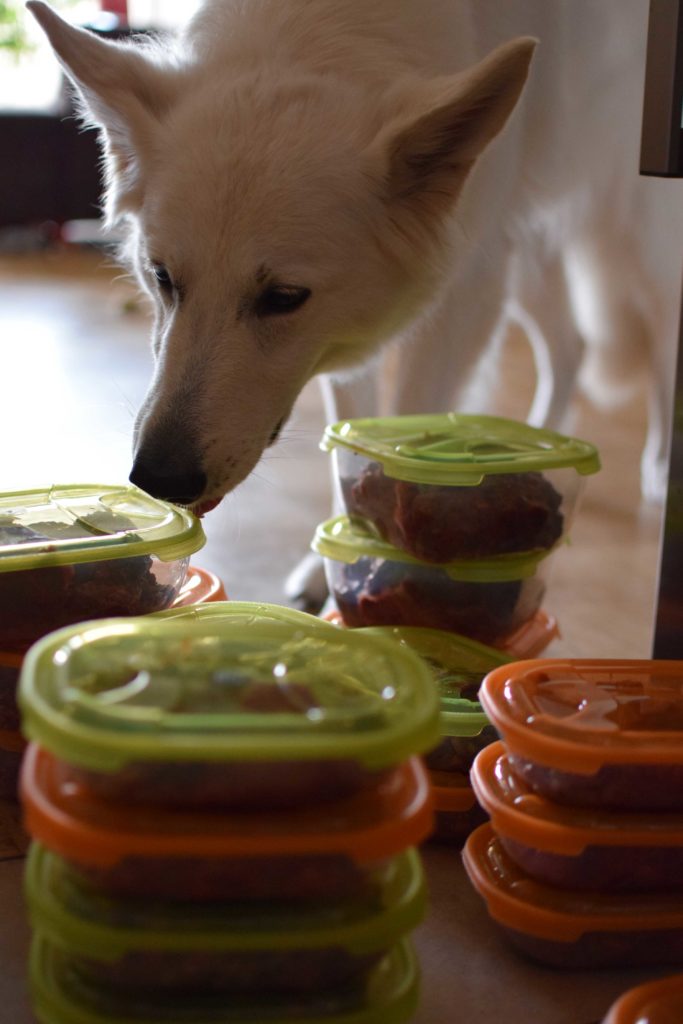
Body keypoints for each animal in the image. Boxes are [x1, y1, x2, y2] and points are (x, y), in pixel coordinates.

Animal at [28, 2, 683, 598]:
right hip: (526, 252)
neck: (321, 30)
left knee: (660, 333)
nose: (157, 478)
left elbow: (404, 423)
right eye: (162, 277)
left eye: (284, 298)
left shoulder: (467, 285)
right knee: (571, 345)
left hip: (623, 232)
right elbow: (351, 428)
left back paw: (656, 468)